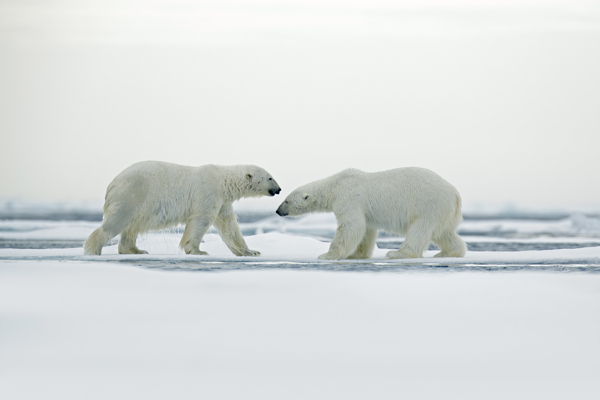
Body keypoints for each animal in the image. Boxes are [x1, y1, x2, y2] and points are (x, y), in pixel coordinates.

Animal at [84, 160, 282, 256]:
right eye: (270, 177)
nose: (279, 189)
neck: (223, 180)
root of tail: (112, 184)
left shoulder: (223, 201)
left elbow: (229, 226)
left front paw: (251, 251)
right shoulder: (208, 192)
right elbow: (201, 220)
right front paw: (198, 251)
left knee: (131, 228)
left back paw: (136, 250)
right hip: (133, 193)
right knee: (117, 221)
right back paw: (93, 249)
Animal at [274, 167, 466, 260]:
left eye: (287, 200)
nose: (277, 210)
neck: (334, 186)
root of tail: (455, 194)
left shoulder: (349, 198)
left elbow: (351, 226)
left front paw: (327, 255)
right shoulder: (364, 210)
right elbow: (365, 230)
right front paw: (356, 255)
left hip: (429, 204)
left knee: (420, 230)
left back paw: (398, 253)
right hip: (443, 211)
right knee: (444, 233)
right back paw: (448, 252)